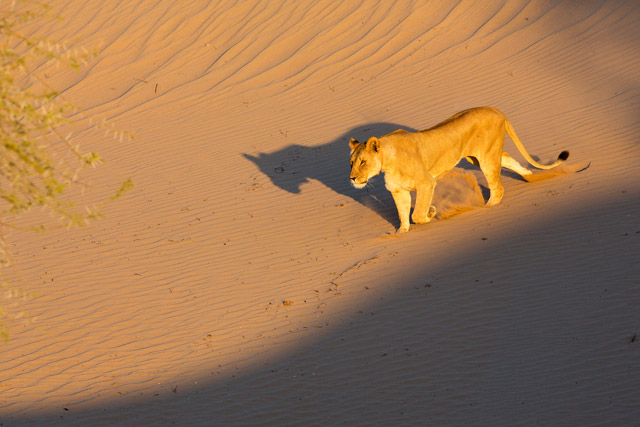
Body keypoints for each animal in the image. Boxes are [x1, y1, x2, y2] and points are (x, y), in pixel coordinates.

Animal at [349, 107, 569, 232]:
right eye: (351, 162)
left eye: (363, 162)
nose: (352, 178)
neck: (387, 162)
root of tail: (496, 110)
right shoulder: (398, 191)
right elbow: (404, 217)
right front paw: (400, 234)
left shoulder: (426, 183)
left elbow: (417, 215)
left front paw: (431, 212)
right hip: (478, 158)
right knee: (507, 159)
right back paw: (531, 177)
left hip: (486, 158)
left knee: (497, 187)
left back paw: (486, 208)